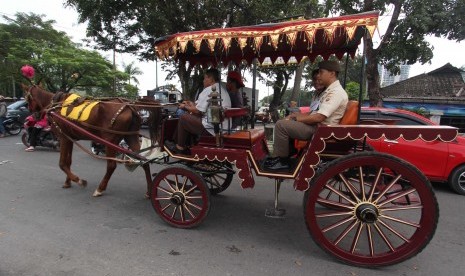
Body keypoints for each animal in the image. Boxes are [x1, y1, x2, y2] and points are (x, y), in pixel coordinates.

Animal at [23, 85, 161, 197]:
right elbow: (68, 162)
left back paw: (100, 189)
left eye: (28, 99)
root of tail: (130, 105)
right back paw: (149, 191)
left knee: (111, 165)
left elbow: (62, 164)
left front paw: (78, 180)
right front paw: (68, 182)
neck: (56, 106)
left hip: (110, 140)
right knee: (144, 161)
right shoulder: (70, 138)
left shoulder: (63, 137)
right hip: (130, 136)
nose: (33, 115)